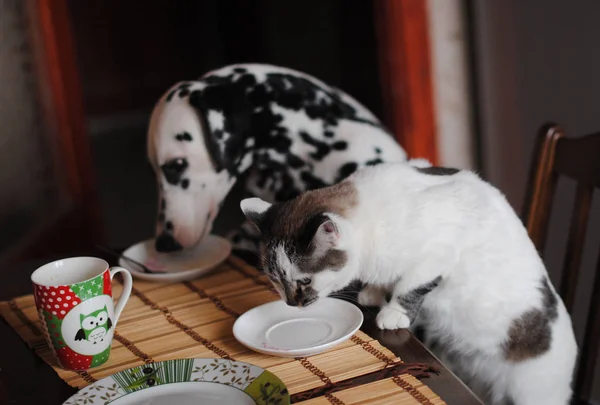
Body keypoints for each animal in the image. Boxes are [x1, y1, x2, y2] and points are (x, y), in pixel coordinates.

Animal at [241, 161, 580, 404]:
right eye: (275, 280)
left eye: (304, 281)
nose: (291, 303)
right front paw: (374, 293)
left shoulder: (440, 247)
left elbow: (411, 285)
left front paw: (394, 312)